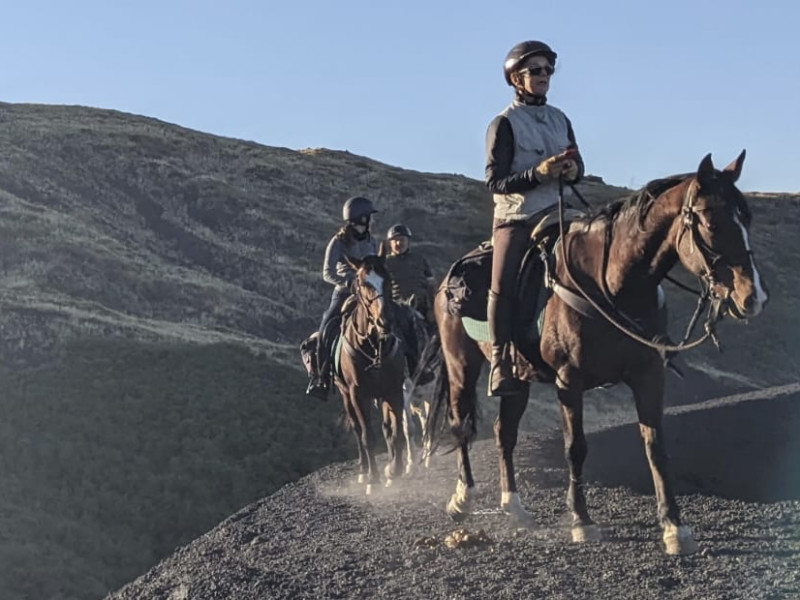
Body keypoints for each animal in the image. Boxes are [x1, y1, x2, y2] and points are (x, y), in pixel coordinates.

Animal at [332, 255, 406, 494]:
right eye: (364, 283)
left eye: (388, 279)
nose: (385, 322)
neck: (373, 347)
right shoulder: (358, 394)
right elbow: (368, 436)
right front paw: (373, 478)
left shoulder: (394, 390)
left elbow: (396, 432)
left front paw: (395, 471)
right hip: (345, 394)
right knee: (357, 430)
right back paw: (364, 471)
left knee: (387, 428)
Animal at [424, 152, 768, 556]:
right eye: (711, 221)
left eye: (746, 218)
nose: (753, 297)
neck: (613, 285)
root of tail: (448, 280)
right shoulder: (568, 381)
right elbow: (575, 448)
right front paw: (582, 521)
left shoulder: (648, 376)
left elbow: (656, 447)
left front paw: (674, 526)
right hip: (461, 364)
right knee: (461, 424)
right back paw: (462, 498)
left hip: (517, 380)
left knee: (503, 432)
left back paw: (516, 508)